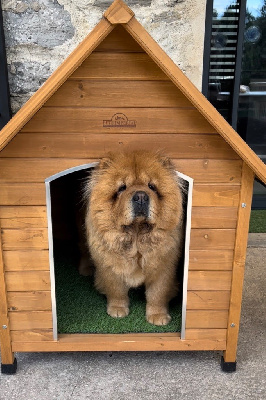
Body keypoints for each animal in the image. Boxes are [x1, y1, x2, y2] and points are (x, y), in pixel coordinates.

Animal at [80, 150, 184, 324]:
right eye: (122, 188)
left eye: (151, 186)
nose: (141, 196)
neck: (136, 235)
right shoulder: (109, 265)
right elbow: (116, 290)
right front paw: (117, 309)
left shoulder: (163, 267)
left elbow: (157, 293)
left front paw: (158, 316)